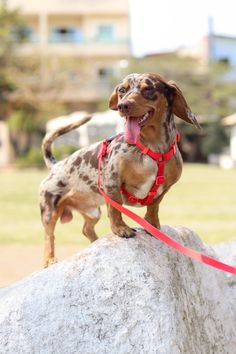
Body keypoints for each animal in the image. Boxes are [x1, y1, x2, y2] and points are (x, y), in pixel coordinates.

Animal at [39, 72, 199, 266]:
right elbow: (115, 210)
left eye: (148, 89)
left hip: (93, 212)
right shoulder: (111, 181)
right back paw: (49, 258)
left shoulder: (164, 188)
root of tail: (56, 165)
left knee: (86, 229)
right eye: (122, 90)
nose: (123, 106)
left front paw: (152, 225)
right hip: (50, 210)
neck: (151, 148)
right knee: (49, 235)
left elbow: (154, 206)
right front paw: (121, 228)